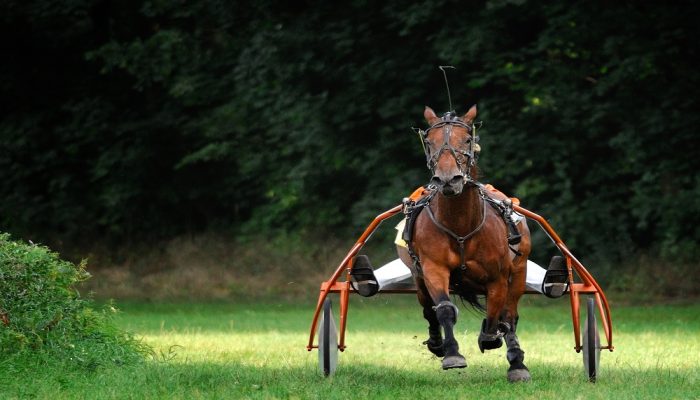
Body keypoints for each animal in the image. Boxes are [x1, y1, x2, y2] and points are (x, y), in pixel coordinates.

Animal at [396, 104, 532, 382]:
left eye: (467, 140)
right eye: (430, 141)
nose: (448, 179)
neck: (460, 225)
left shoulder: (498, 277)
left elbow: (496, 314)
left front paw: (492, 338)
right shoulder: (433, 268)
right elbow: (444, 309)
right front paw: (452, 354)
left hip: (520, 270)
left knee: (510, 313)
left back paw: (516, 362)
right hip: (418, 278)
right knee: (428, 309)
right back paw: (437, 342)